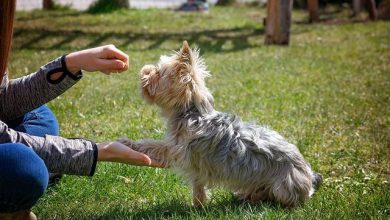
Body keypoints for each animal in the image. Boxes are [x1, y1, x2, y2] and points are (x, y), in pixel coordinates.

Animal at [119, 41, 322, 208]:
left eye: (159, 73)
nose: (144, 71)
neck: (192, 112)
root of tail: (309, 175)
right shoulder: (195, 164)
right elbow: (198, 185)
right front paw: (198, 205)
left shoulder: (176, 149)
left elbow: (152, 145)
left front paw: (128, 143)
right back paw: (247, 195)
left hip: (284, 185)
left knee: (282, 199)